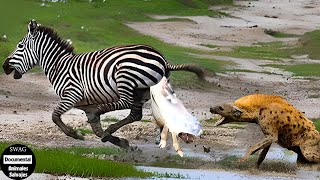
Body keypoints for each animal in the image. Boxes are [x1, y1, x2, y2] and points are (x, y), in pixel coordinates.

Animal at [3, 20, 205, 149]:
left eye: (20, 46)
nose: (4, 66)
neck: (59, 66)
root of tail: (163, 58)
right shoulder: (86, 105)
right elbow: (97, 130)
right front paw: (120, 142)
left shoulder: (72, 94)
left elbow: (55, 117)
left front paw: (76, 135)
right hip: (145, 91)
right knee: (135, 114)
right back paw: (111, 129)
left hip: (125, 77)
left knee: (125, 104)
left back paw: (103, 114)